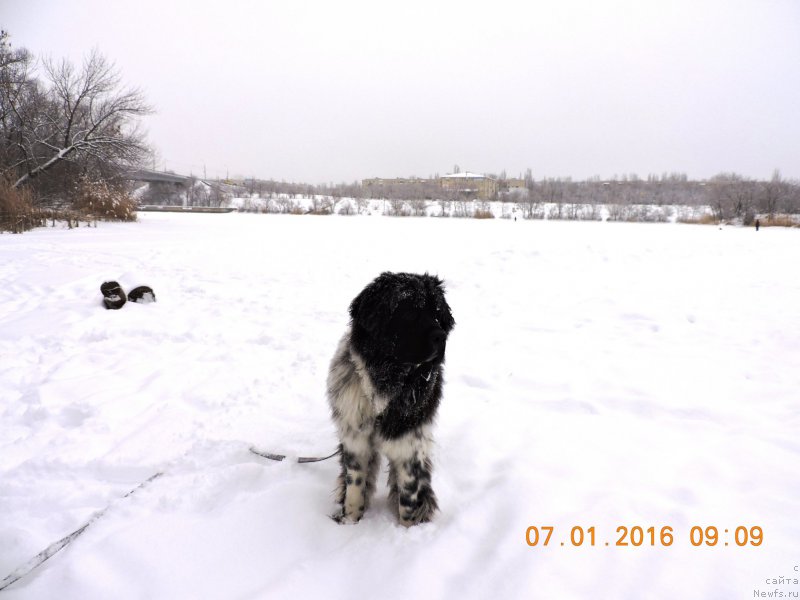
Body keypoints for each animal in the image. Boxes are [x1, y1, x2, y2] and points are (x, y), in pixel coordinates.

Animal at [326, 272, 454, 524]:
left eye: (437, 313)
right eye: (410, 312)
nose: (441, 336)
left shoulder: (409, 445)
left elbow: (408, 500)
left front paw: (409, 529)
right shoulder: (355, 440)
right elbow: (355, 486)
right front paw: (350, 523)